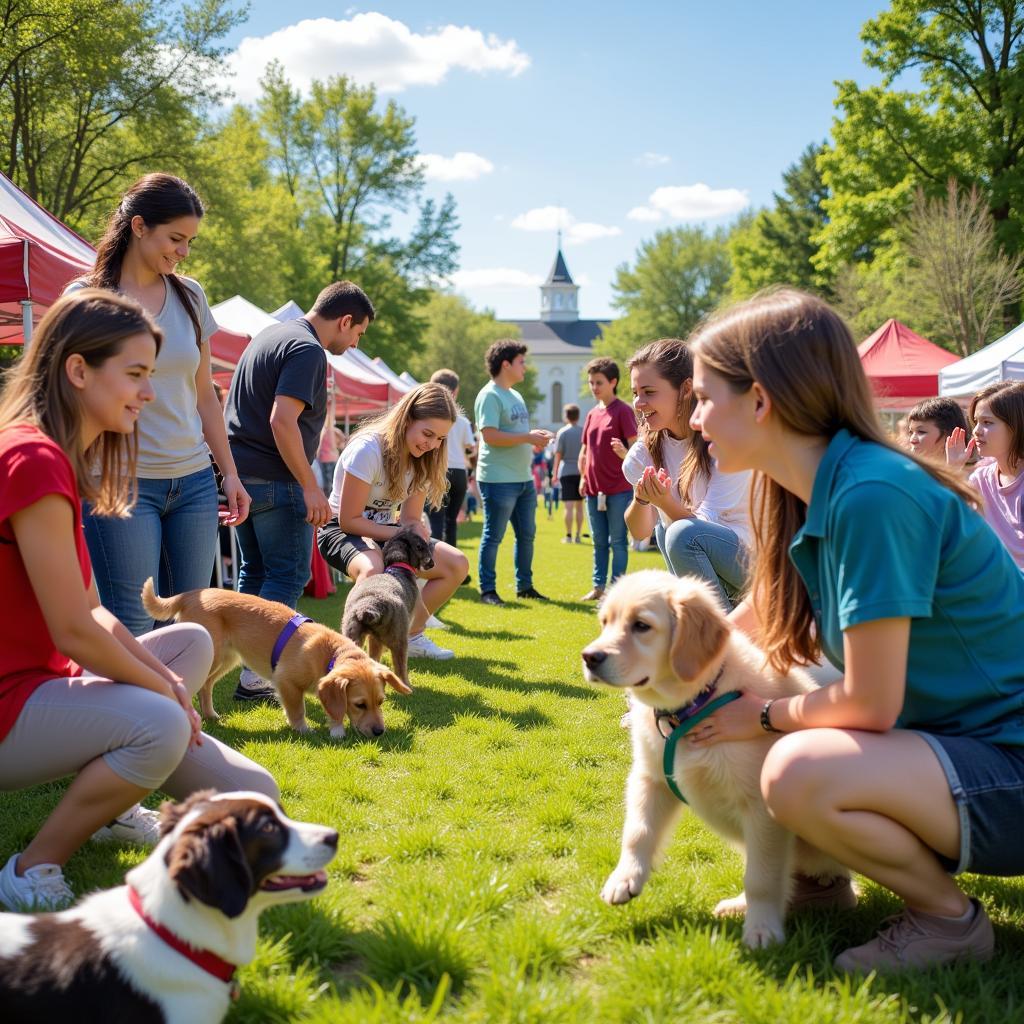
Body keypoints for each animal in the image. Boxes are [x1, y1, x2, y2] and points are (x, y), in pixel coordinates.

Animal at [141, 577, 411, 737]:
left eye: (381, 702)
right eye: (359, 704)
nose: (379, 732)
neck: (330, 653)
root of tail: (189, 594)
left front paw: (335, 727)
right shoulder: (287, 682)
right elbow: (298, 709)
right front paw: (304, 729)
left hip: (225, 658)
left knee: (206, 686)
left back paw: (210, 714)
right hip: (213, 654)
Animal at [342, 528, 434, 688]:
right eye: (422, 546)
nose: (432, 564)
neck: (398, 567)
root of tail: (369, 607)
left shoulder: (374, 639)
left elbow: (374, 657)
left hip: (352, 635)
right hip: (399, 641)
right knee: (400, 668)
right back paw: (407, 687)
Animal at [581, 573, 851, 946]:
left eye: (641, 625)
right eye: (605, 622)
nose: (589, 657)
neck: (692, 704)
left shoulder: (761, 806)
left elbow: (761, 876)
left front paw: (762, 928)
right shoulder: (650, 778)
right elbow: (637, 830)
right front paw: (624, 878)